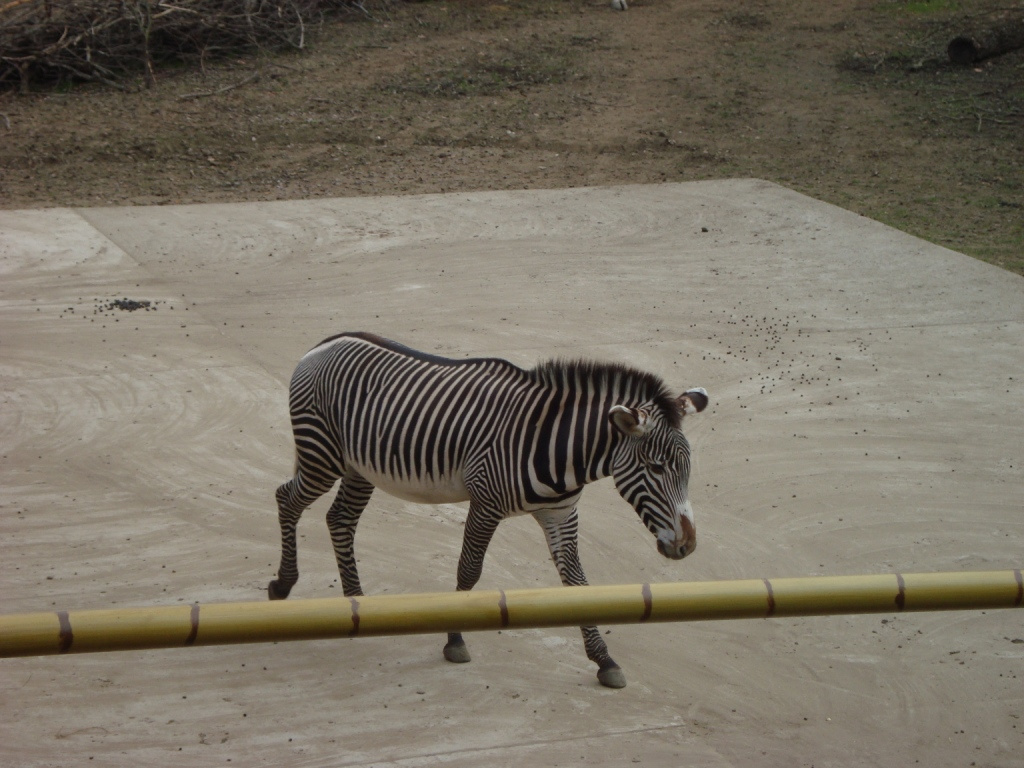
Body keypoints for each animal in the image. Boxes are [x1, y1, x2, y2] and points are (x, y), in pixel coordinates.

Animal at [268, 333, 708, 688]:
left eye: (687, 468)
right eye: (656, 468)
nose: (687, 546)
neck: (554, 445)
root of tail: (323, 344)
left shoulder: (561, 515)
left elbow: (579, 584)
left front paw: (604, 660)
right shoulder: (485, 503)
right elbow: (469, 571)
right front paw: (455, 639)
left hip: (358, 468)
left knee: (339, 519)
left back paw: (358, 606)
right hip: (321, 456)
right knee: (286, 498)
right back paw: (283, 585)